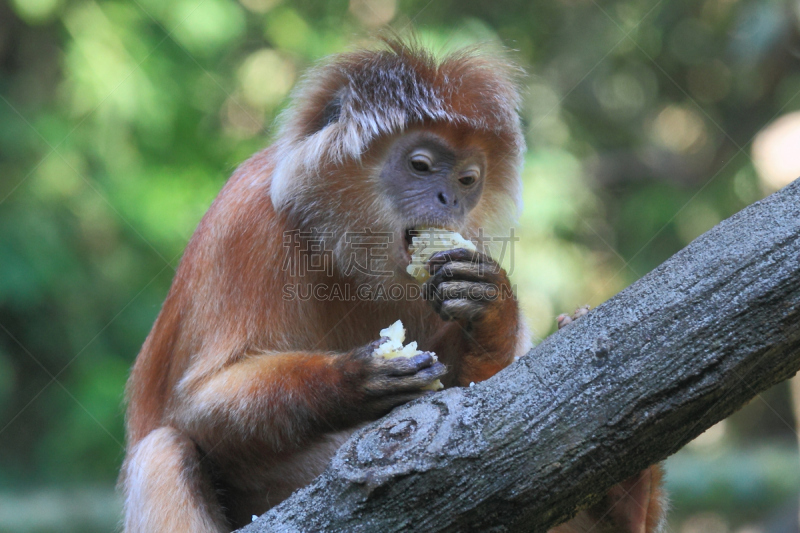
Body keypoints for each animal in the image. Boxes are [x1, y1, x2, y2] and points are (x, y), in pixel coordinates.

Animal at [120, 40, 668, 532]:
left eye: (468, 179)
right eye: (420, 165)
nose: (450, 199)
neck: (340, 245)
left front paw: (491, 307)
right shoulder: (244, 224)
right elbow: (197, 403)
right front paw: (355, 377)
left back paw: (625, 501)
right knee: (163, 454)